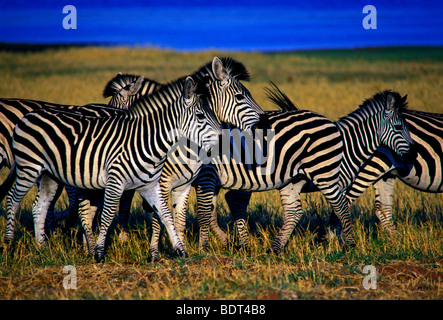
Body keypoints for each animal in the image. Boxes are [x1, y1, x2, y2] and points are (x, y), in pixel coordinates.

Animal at [0, 76, 222, 262]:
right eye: (200, 116)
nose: (223, 139)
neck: (148, 142)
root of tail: (29, 114)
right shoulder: (116, 182)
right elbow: (107, 216)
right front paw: (99, 253)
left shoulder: (151, 185)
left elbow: (166, 215)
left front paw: (180, 250)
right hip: (29, 167)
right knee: (13, 199)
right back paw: (10, 244)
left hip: (50, 175)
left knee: (40, 207)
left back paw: (42, 248)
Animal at [153, 87, 416, 255]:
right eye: (399, 127)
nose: (413, 154)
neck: (348, 142)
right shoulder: (335, 179)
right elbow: (340, 209)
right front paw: (334, 239)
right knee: (214, 208)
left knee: (223, 206)